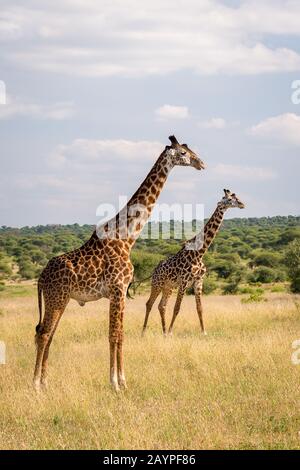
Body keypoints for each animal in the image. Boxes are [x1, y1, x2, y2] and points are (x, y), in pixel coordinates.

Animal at [33, 134, 206, 392]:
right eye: (183, 153)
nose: (201, 163)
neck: (127, 237)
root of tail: (41, 278)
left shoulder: (121, 291)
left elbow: (120, 334)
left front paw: (122, 381)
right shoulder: (117, 289)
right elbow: (115, 335)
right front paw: (116, 383)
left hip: (60, 300)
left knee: (49, 333)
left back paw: (45, 383)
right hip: (56, 298)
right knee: (44, 334)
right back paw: (35, 385)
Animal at [142, 189, 245, 336]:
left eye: (236, 197)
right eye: (229, 199)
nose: (242, 204)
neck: (199, 254)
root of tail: (154, 271)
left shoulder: (198, 281)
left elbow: (199, 308)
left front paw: (203, 331)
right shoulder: (184, 282)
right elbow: (177, 308)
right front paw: (171, 332)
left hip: (168, 287)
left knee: (162, 306)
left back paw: (163, 332)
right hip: (157, 284)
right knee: (149, 303)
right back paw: (144, 332)